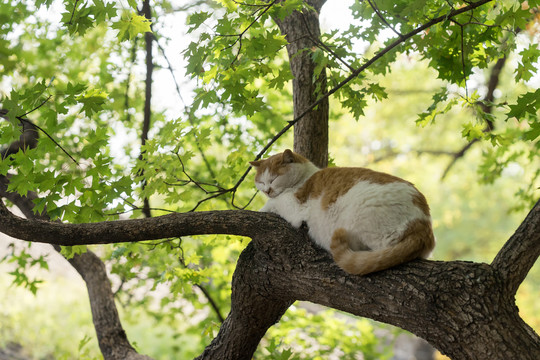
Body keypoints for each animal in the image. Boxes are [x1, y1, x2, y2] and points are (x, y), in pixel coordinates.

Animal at [249, 149, 434, 276]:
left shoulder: (295, 207)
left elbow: (274, 202)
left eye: (273, 179)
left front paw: (262, 207)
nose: (267, 190)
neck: (305, 177)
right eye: (261, 182)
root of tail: (424, 226)